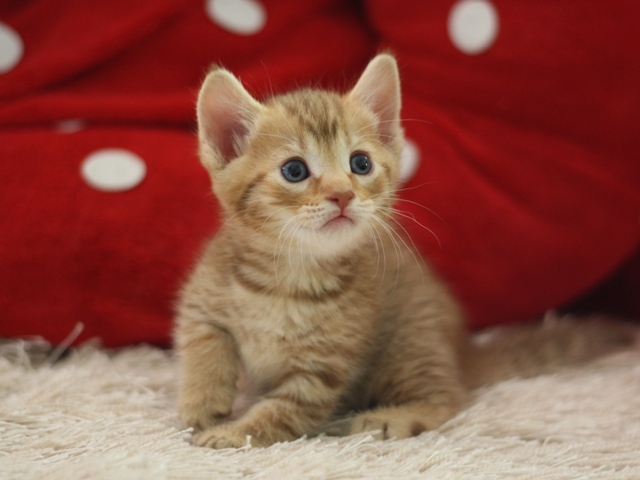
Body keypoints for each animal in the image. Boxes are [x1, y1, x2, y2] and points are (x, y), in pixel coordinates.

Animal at [172, 54, 636, 448]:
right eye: (294, 170)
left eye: (360, 164)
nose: (342, 195)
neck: (289, 275)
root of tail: (460, 350)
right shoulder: (203, 303)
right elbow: (203, 348)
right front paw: (201, 405)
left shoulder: (322, 369)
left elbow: (282, 411)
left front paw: (234, 433)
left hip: (409, 344)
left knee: (448, 397)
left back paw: (390, 416)